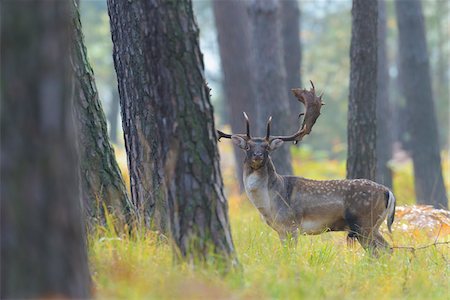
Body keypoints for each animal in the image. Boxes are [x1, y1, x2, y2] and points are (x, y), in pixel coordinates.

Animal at [220, 81, 396, 254]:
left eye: (267, 147)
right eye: (247, 147)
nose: (258, 155)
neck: (268, 205)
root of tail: (389, 192)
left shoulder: (290, 225)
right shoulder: (280, 230)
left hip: (364, 222)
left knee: (382, 250)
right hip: (371, 226)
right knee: (386, 249)